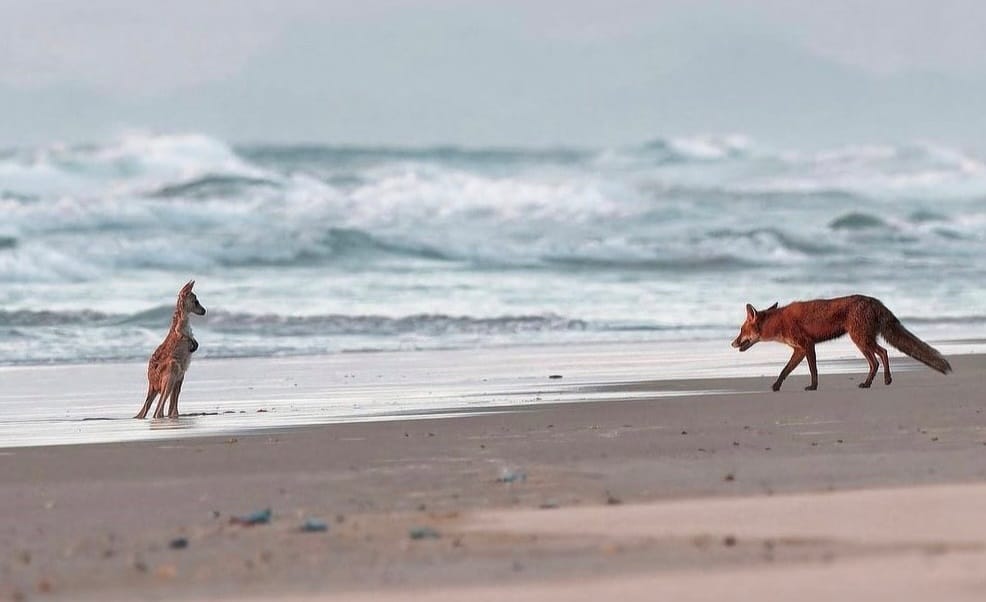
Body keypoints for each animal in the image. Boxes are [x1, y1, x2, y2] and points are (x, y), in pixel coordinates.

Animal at [135, 280, 206, 418]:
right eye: (196, 301)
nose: (205, 311)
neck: (182, 315)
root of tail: (151, 385)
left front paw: (195, 344)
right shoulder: (179, 329)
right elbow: (184, 335)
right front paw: (192, 344)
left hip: (179, 376)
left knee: (170, 401)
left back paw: (174, 415)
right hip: (171, 368)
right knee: (159, 410)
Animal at [732, 294, 944, 390]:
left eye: (741, 330)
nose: (732, 344)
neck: (779, 322)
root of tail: (874, 301)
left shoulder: (807, 345)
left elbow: (813, 370)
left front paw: (813, 386)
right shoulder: (799, 349)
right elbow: (785, 370)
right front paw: (776, 386)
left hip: (860, 340)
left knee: (881, 355)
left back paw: (877, 381)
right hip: (863, 340)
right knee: (879, 357)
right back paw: (876, 381)